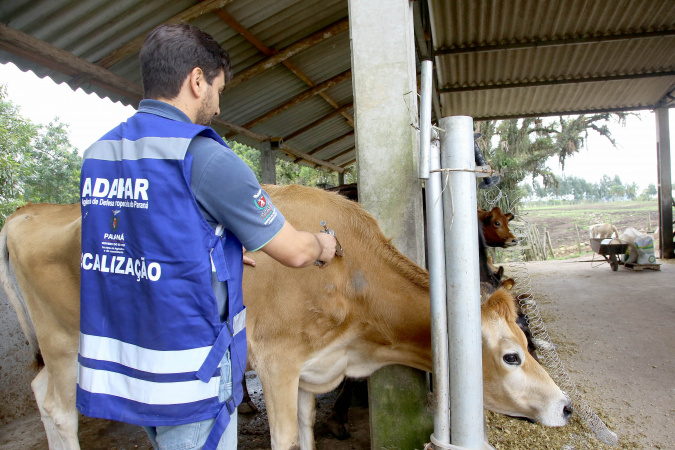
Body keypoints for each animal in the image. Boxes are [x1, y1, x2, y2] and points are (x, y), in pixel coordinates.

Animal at [1, 185, 572, 448]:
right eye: (511, 356)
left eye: (529, 342)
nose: (565, 407)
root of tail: (29, 211)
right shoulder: (277, 362)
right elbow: (285, 438)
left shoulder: (309, 369)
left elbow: (306, 432)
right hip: (62, 343)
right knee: (56, 406)